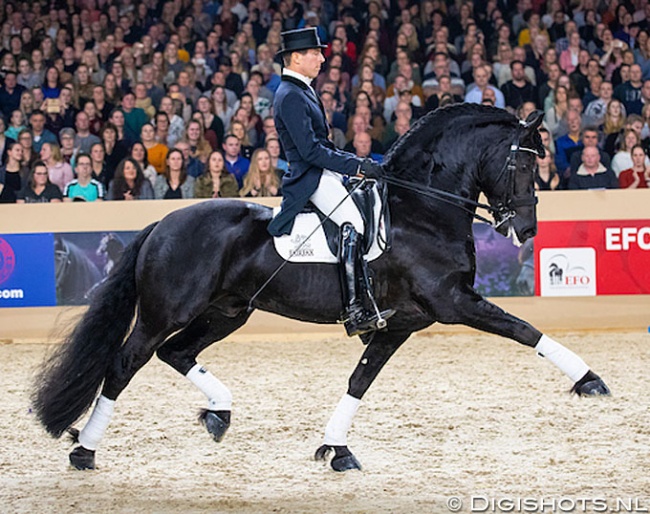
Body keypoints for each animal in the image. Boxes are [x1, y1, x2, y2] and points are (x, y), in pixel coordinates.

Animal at [31, 103, 608, 468]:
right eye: (523, 164)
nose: (526, 229)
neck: (422, 208)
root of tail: (162, 224)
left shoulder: (403, 322)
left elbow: (360, 379)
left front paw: (336, 449)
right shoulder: (453, 302)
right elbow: (523, 329)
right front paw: (590, 380)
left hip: (228, 311)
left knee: (177, 353)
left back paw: (219, 412)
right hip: (162, 312)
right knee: (126, 363)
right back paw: (84, 450)